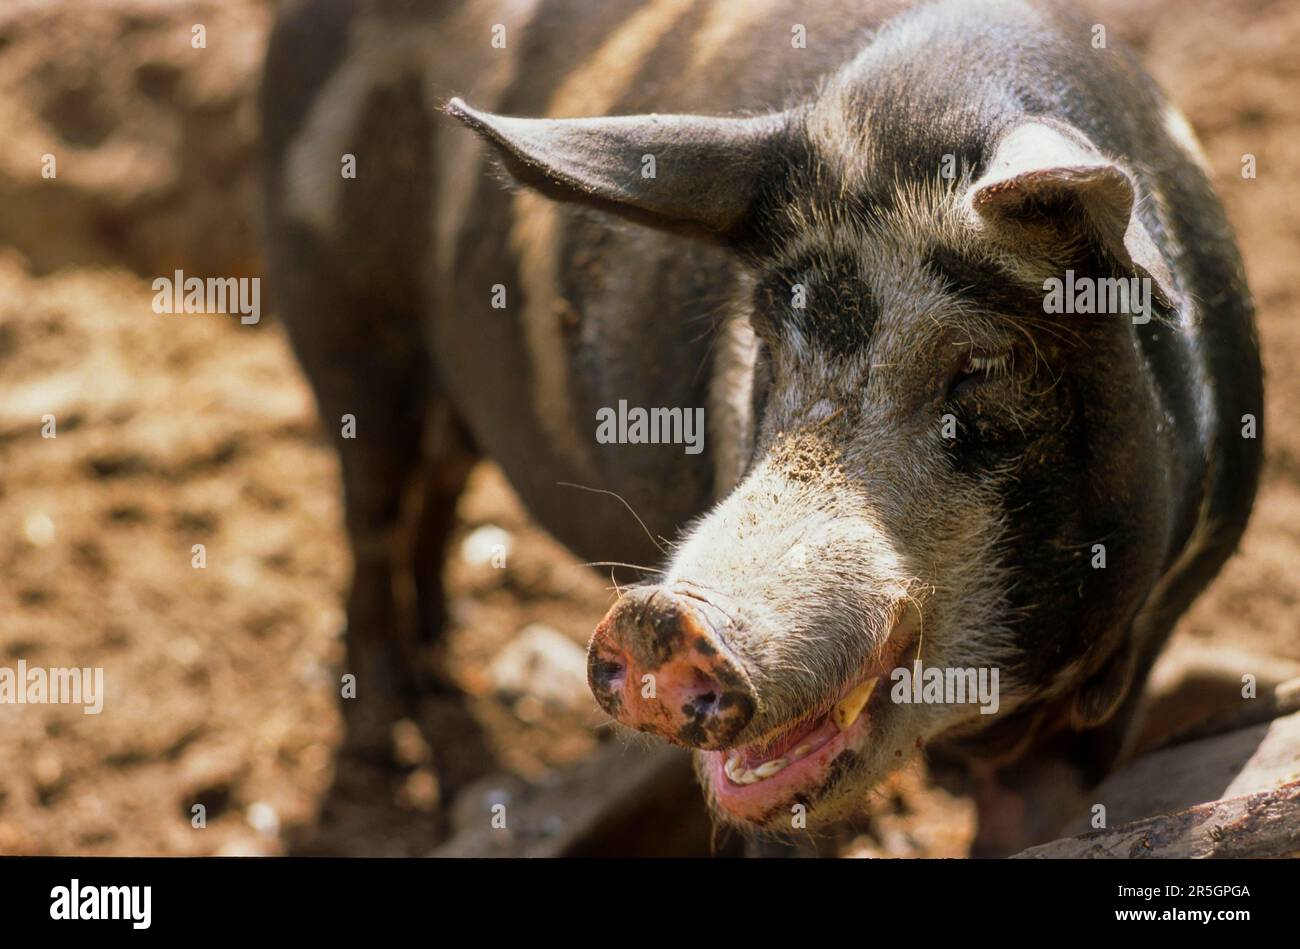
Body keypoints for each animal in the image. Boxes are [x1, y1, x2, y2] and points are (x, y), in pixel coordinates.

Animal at [258, 0, 1263, 852]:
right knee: (368, 511)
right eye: (770, 338)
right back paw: (385, 720)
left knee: (437, 487)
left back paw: (439, 650)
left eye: (978, 365)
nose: (658, 615)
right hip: (343, 327)